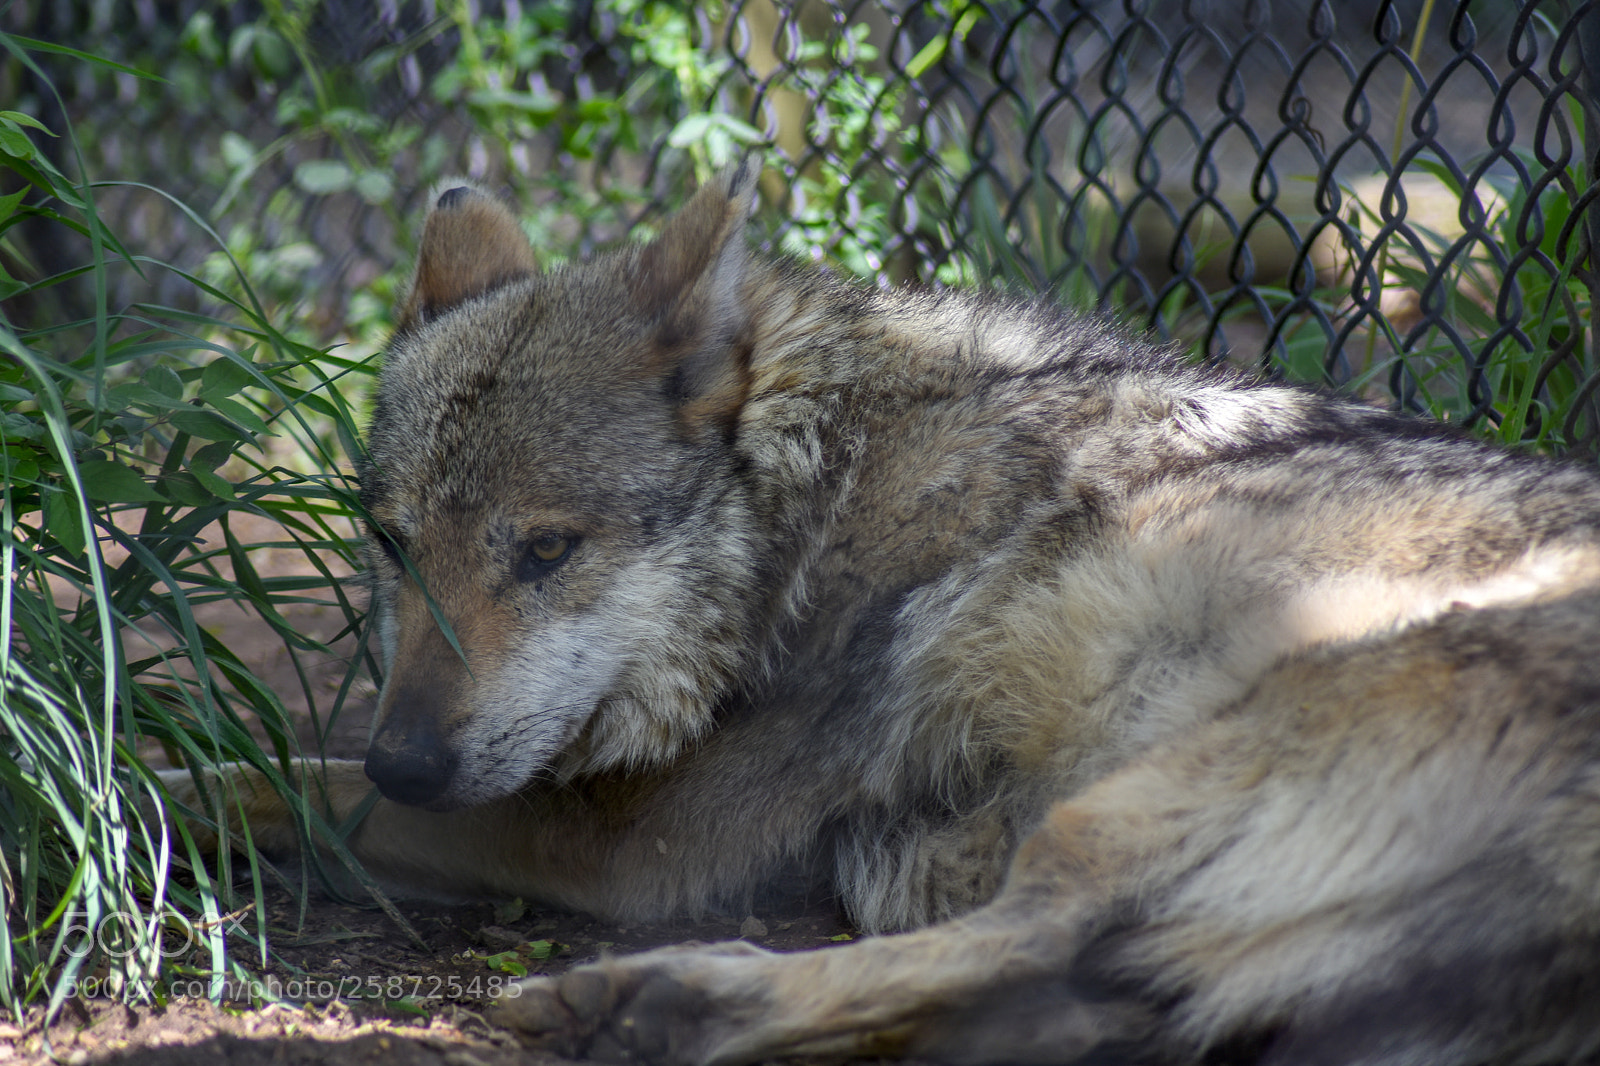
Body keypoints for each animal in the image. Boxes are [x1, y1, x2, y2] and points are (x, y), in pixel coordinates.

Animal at [171, 161, 1600, 1065]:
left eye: (544, 549)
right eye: (391, 544)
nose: (409, 762)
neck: (830, 483)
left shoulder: (643, 846)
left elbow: (277, 782)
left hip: (1199, 753)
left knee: (1033, 932)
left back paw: (656, 1002)